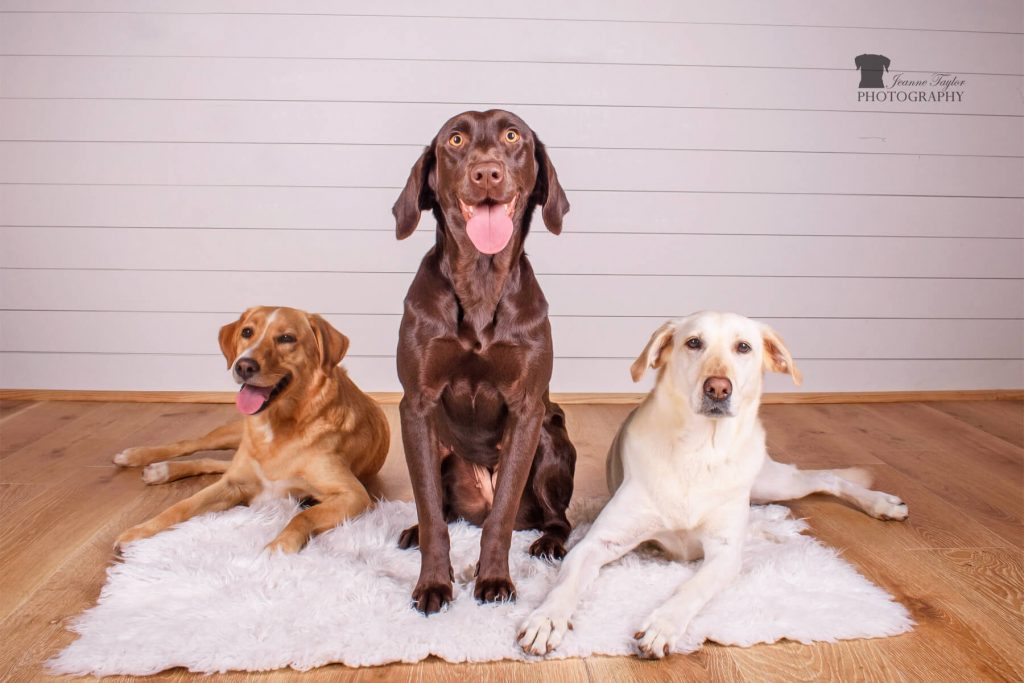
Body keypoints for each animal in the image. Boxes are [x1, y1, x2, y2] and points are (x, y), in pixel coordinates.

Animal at [112, 307, 389, 552]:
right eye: (247, 332)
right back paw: (143, 459)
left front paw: (279, 547)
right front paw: (139, 532)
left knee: (214, 463)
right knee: (193, 445)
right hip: (230, 435)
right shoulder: (232, 484)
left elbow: (303, 516)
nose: (243, 366)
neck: (277, 427)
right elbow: (181, 506)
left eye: (286, 338)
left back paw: (161, 470)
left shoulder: (353, 494)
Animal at [520, 313, 905, 659]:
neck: (698, 450)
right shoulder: (597, 542)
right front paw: (546, 620)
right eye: (694, 343)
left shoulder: (724, 554)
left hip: (771, 482)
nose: (718, 387)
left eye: (743, 347)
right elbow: (566, 582)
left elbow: (692, 587)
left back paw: (881, 503)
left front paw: (662, 625)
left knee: (823, 478)